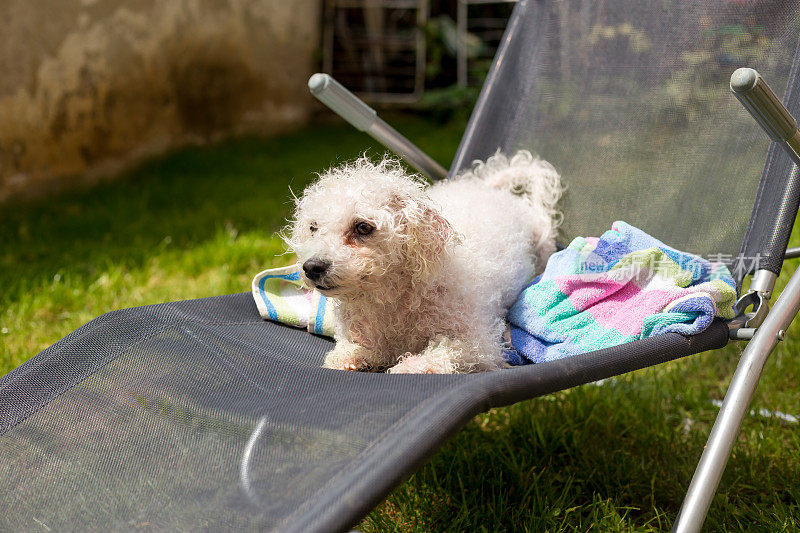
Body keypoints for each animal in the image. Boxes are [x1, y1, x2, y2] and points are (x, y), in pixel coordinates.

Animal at [288, 149, 564, 374]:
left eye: (363, 227)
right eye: (313, 228)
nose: (312, 267)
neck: (395, 298)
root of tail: (490, 190)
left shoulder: (479, 344)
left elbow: (443, 353)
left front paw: (409, 366)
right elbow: (355, 350)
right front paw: (347, 359)